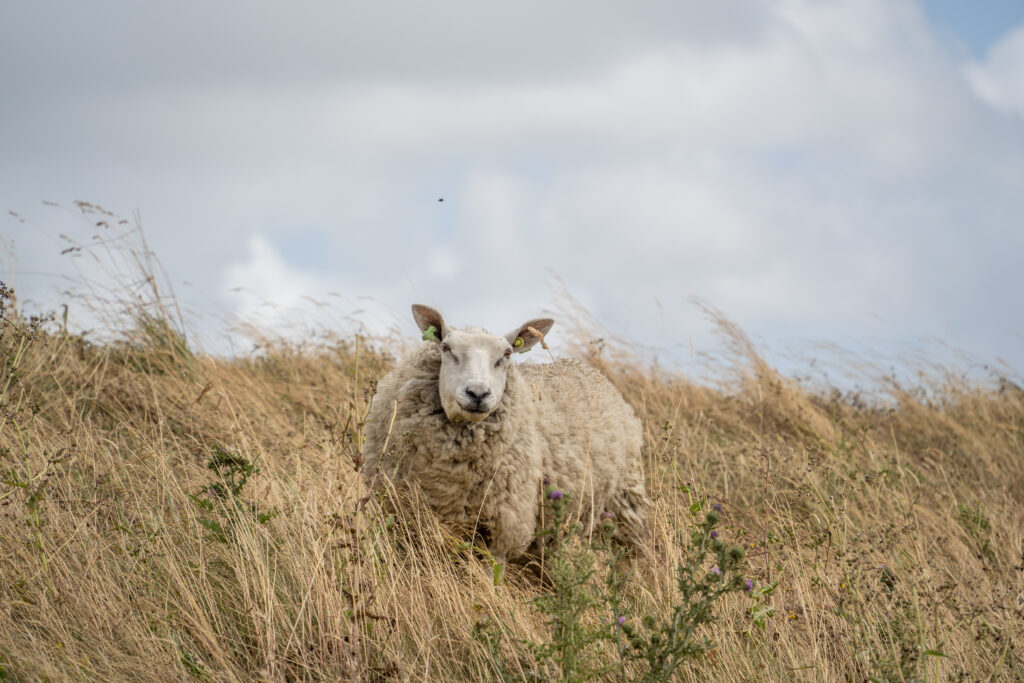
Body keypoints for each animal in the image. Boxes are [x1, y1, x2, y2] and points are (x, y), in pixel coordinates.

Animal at [360, 307, 647, 565]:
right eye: (446, 348)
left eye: (507, 354)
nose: (478, 393)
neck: (449, 476)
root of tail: (590, 371)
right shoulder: (399, 515)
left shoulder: (504, 528)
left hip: (624, 506)